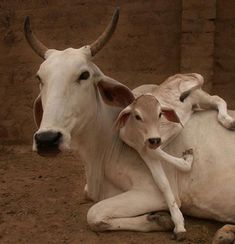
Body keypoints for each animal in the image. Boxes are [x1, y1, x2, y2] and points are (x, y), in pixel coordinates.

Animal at [114, 73, 235, 240]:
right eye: (137, 116)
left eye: (160, 114)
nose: (153, 139)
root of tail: (183, 74)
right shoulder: (145, 151)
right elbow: (162, 182)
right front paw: (179, 226)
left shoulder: (166, 134)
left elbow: (157, 152)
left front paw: (187, 158)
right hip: (198, 100)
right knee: (215, 100)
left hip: (199, 96)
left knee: (217, 99)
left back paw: (229, 122)